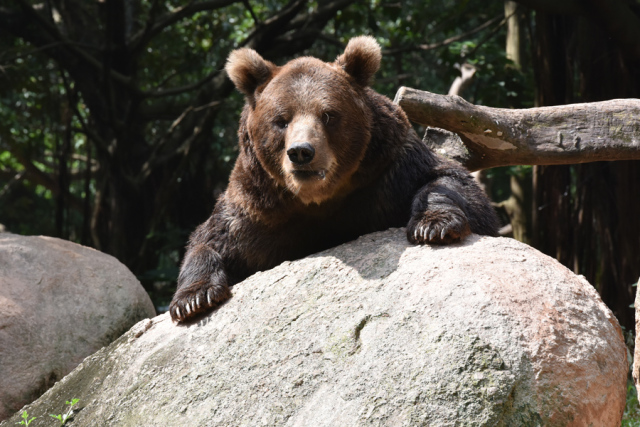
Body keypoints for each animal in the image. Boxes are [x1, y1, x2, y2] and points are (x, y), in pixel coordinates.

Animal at [170, 36, 500, 322]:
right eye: (281, 120)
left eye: (328, 115)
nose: (301, 152)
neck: (318, 198)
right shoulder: (258, 207)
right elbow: (211, 238)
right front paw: (193, 299)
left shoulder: (389, 169)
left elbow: (453, 184)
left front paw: (434, 225)